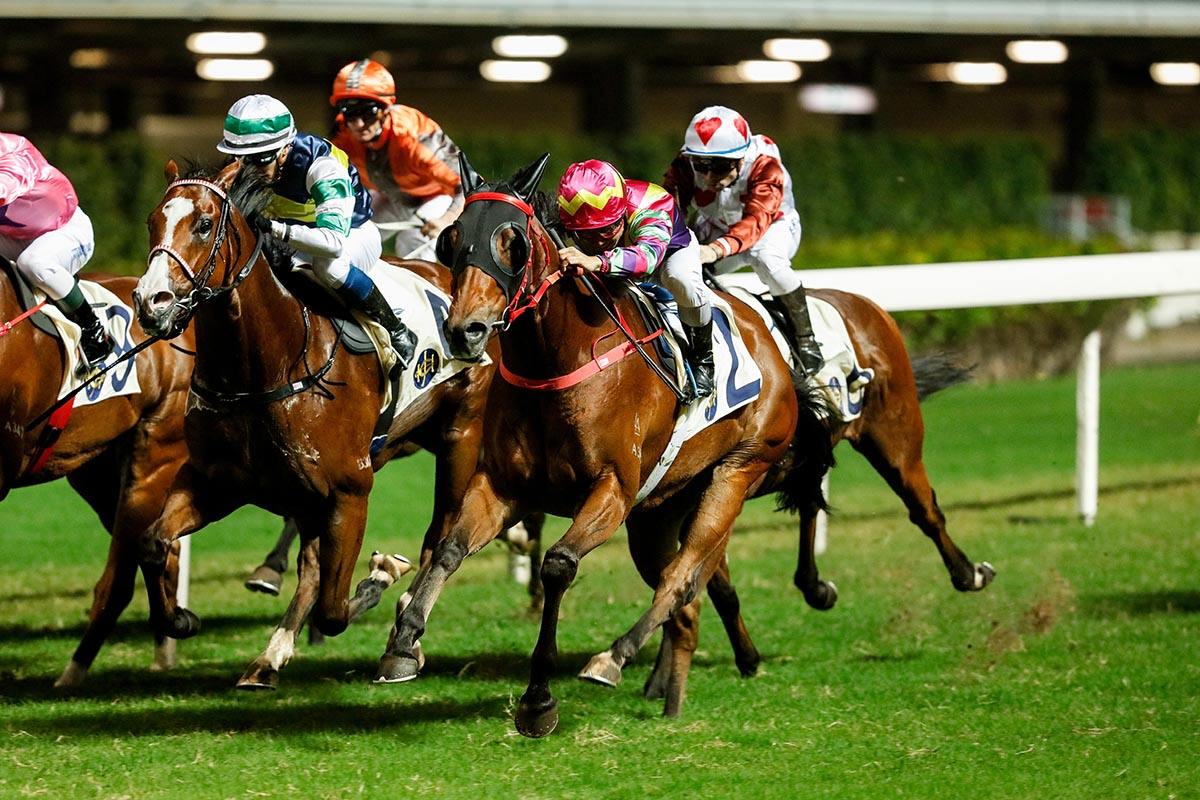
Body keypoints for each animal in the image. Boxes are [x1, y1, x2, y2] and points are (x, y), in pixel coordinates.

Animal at [132, 160, 501, 690]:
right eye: (152, 222)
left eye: (203, 224)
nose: (150, 302)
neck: (266, 365)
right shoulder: (216, 482)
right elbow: (152, 541)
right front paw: (179, 618)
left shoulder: (350, 490)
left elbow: (334, 607)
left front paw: (383, 575)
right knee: (309, 566)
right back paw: (268, 657)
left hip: (460, 435)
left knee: (441, 529)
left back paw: (403, 637)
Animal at [372, 151, 806, 738]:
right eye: (451, 238)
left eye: (513, 242)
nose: (466, 330)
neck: (556, 360)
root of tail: (773, 344)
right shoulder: (504, 486)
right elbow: (449, 548)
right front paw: (402, 643)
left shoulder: (612, 492)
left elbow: (557, 565)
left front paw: (538, 700)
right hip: (658, 512)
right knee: (684, 603)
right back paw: (671, 699)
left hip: (735, 472)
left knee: (681, 579)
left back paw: (614, 657)